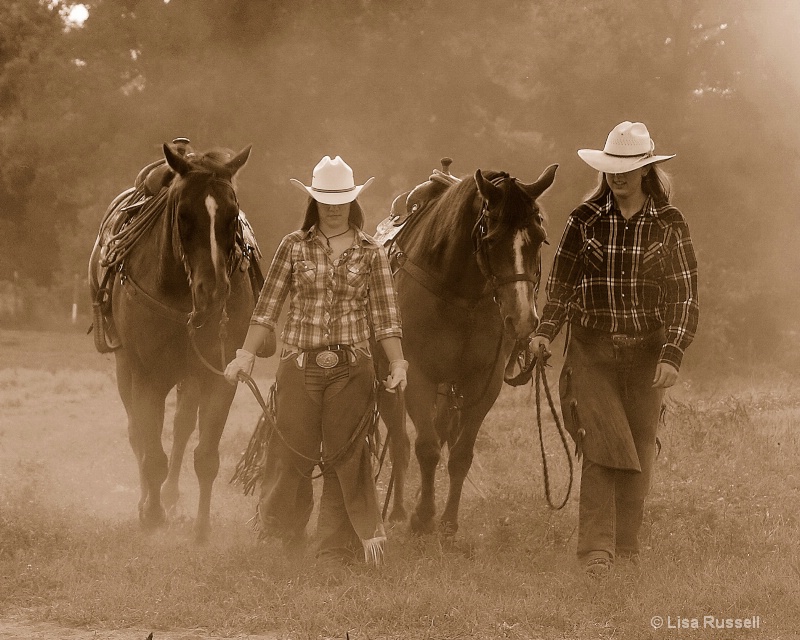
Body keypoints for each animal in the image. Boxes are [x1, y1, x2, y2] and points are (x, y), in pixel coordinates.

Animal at [87, 144, 252, 540]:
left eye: (232, 215)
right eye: (184, 215)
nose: (214, 291)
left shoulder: (219, 377)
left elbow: (205, 456)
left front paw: (201, 528)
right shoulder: (147, 377)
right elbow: (151, 452)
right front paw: (151, 514)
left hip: (189, 377)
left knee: (180, 430)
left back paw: (172, 496)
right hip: (127, 370)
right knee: (137, 435)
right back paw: (149, 500)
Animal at [380, 164, 560, 536]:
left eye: (540, 238)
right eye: (491, 239)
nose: (523, 319)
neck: (458, 294)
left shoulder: (482, 383)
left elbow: (460, 453)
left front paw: (448, 521)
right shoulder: (417, 375)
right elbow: (425, 448)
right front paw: (422, 518)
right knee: (400, 443)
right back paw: (401, 509)